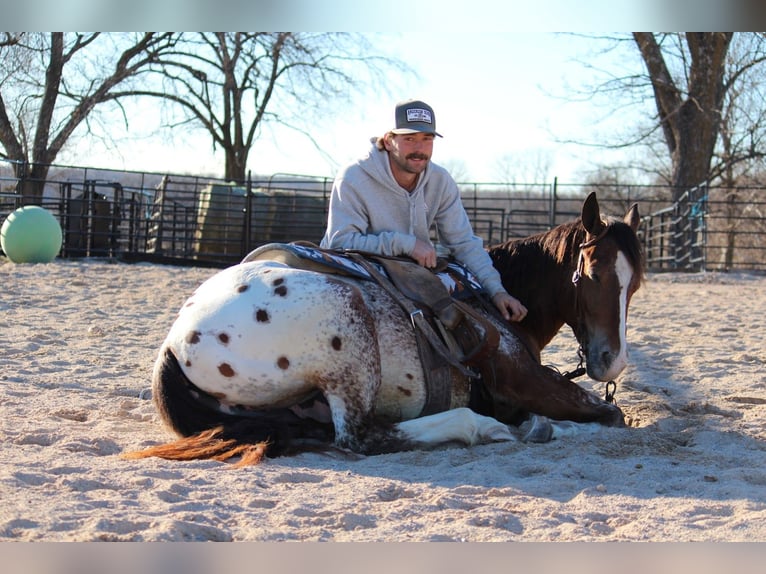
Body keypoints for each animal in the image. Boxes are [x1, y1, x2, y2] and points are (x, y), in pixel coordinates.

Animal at [125, 192, 644, 466]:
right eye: (593, 274)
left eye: (635, 282)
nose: (613, 361)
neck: (492, 301)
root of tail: (175, 343)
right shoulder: (527, 380)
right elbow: (609, 415)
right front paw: (548, 425)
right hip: (348, 329)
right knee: (358, 437)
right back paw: (479, 426)